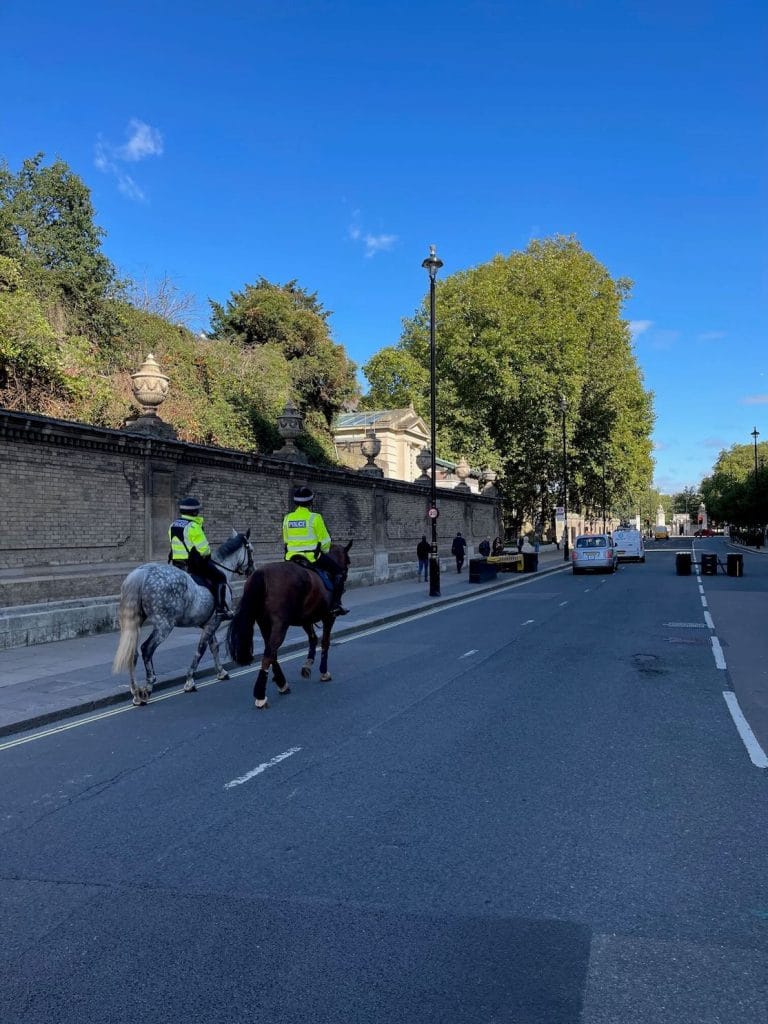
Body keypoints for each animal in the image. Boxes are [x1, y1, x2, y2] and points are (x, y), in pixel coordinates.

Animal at [112, 528, 253, 704]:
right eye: (250, 550)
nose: (251, 570)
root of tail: (142, 573)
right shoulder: (214, 621)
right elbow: (201, 649)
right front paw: (190, 680)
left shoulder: (208, 622)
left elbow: (213, 646)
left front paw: (221, 672)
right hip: (165, 625)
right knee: (147, 649)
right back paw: (149, 686)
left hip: (136, 622)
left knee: (133, 653)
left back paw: (135, 691)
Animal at [225, 544, 352, 704]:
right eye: (348, 561)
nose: (344, 574)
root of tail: (261, 573)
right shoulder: (328, 617)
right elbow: (325, 643)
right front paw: (323, 671)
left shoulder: (306, 619)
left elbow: (313, 639)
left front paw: (307, 665)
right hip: (280, 625)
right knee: (269, 654)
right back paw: (261, 694)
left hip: (264, 624)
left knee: (271, 653)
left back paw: (282, 683)